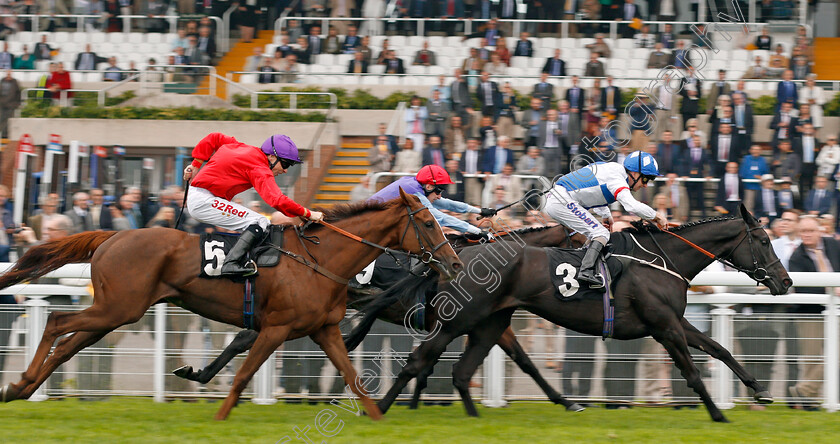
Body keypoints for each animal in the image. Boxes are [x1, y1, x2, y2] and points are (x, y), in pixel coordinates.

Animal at [0, 190, 460, 420]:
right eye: (427, 221)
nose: (454, 262)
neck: (321, 259)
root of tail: (112, 236)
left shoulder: (324, 329)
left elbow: (353, 377)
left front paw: (377, 418)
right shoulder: (276, 328)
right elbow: (242, 376)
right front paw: (221, 415)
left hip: (116, 312)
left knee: (69, 343)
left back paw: (22, 388)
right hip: (117, 308)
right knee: (57, 320)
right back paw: (21, 383)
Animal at [173, 224, 588, 412]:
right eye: (579, 240)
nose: (585, 275)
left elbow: (430, 364)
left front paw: (414, 401)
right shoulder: (473, 319)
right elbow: (525, 360)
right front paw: (566, 401)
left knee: (250, 336)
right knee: (252, 338)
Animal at [346, 206, 788, 424]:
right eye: (765, 241)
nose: (785, 282)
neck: (663, 260)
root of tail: (456, 257)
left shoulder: (674, 321)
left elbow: (719, 349)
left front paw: (757, 389)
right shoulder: (664, 327)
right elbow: (693, 371)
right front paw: (717, 413)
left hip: (488, 323)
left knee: (460, 370)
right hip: (460, 319)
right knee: (420, 359)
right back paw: (380, 409)